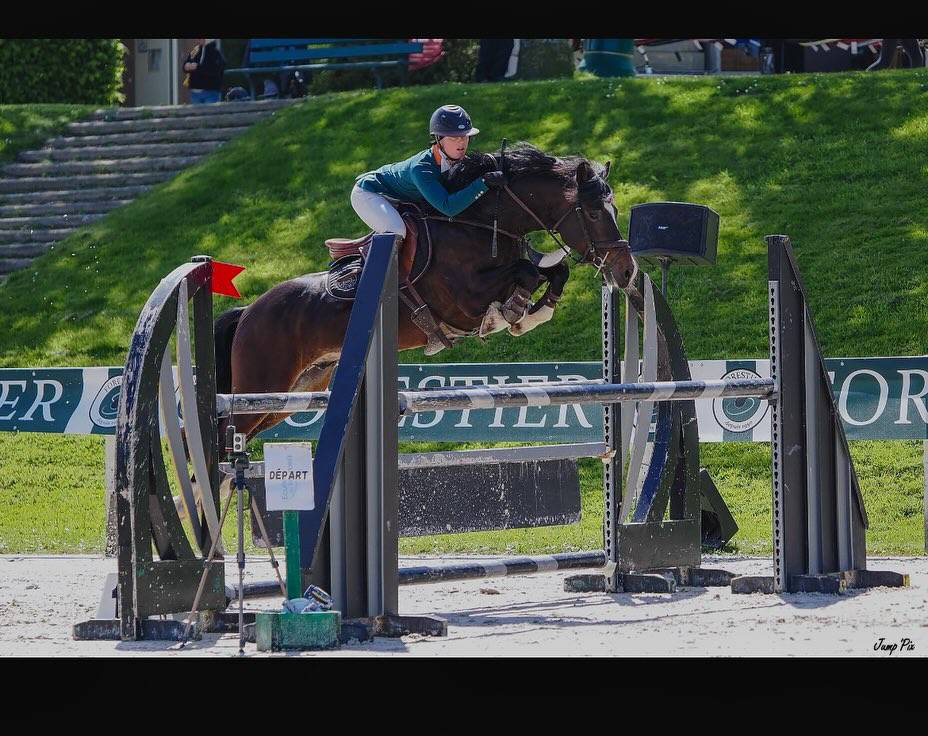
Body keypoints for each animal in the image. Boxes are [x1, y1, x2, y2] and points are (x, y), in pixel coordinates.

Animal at [214, 142, 637, 441]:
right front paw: (509, 315)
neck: (476, 221)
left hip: (291, 394)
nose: (627, 271)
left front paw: (532, 313)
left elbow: (551, 271)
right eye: (594, 213)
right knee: (224, 434)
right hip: (262, 385)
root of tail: (248, 311)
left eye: (614, 209)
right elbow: (525, 273)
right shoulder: (464, 301)